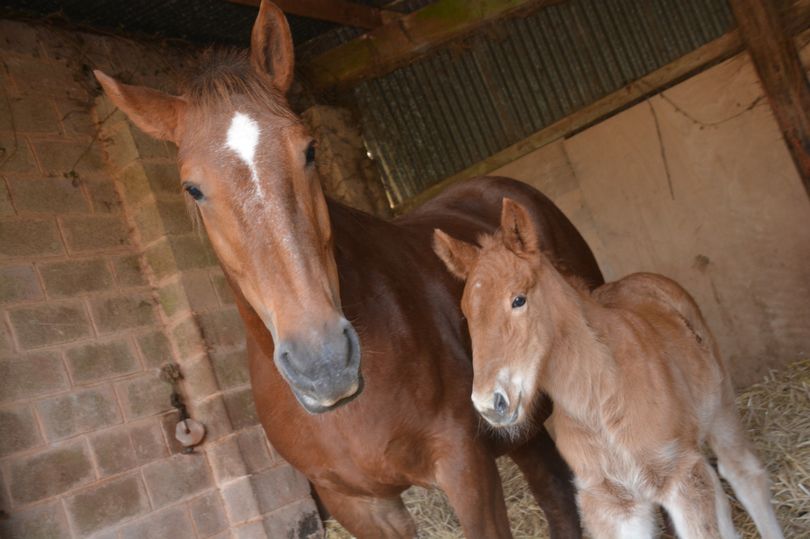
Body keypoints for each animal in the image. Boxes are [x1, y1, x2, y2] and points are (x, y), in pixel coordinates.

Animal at [432, 199, 780, 539]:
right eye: (467, 315)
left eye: (518, 299)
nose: (489, 404)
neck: (600, 397)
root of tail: (642, 278)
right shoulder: (612, 504)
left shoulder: (679, 475)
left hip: (721, 406)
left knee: (742, 473)